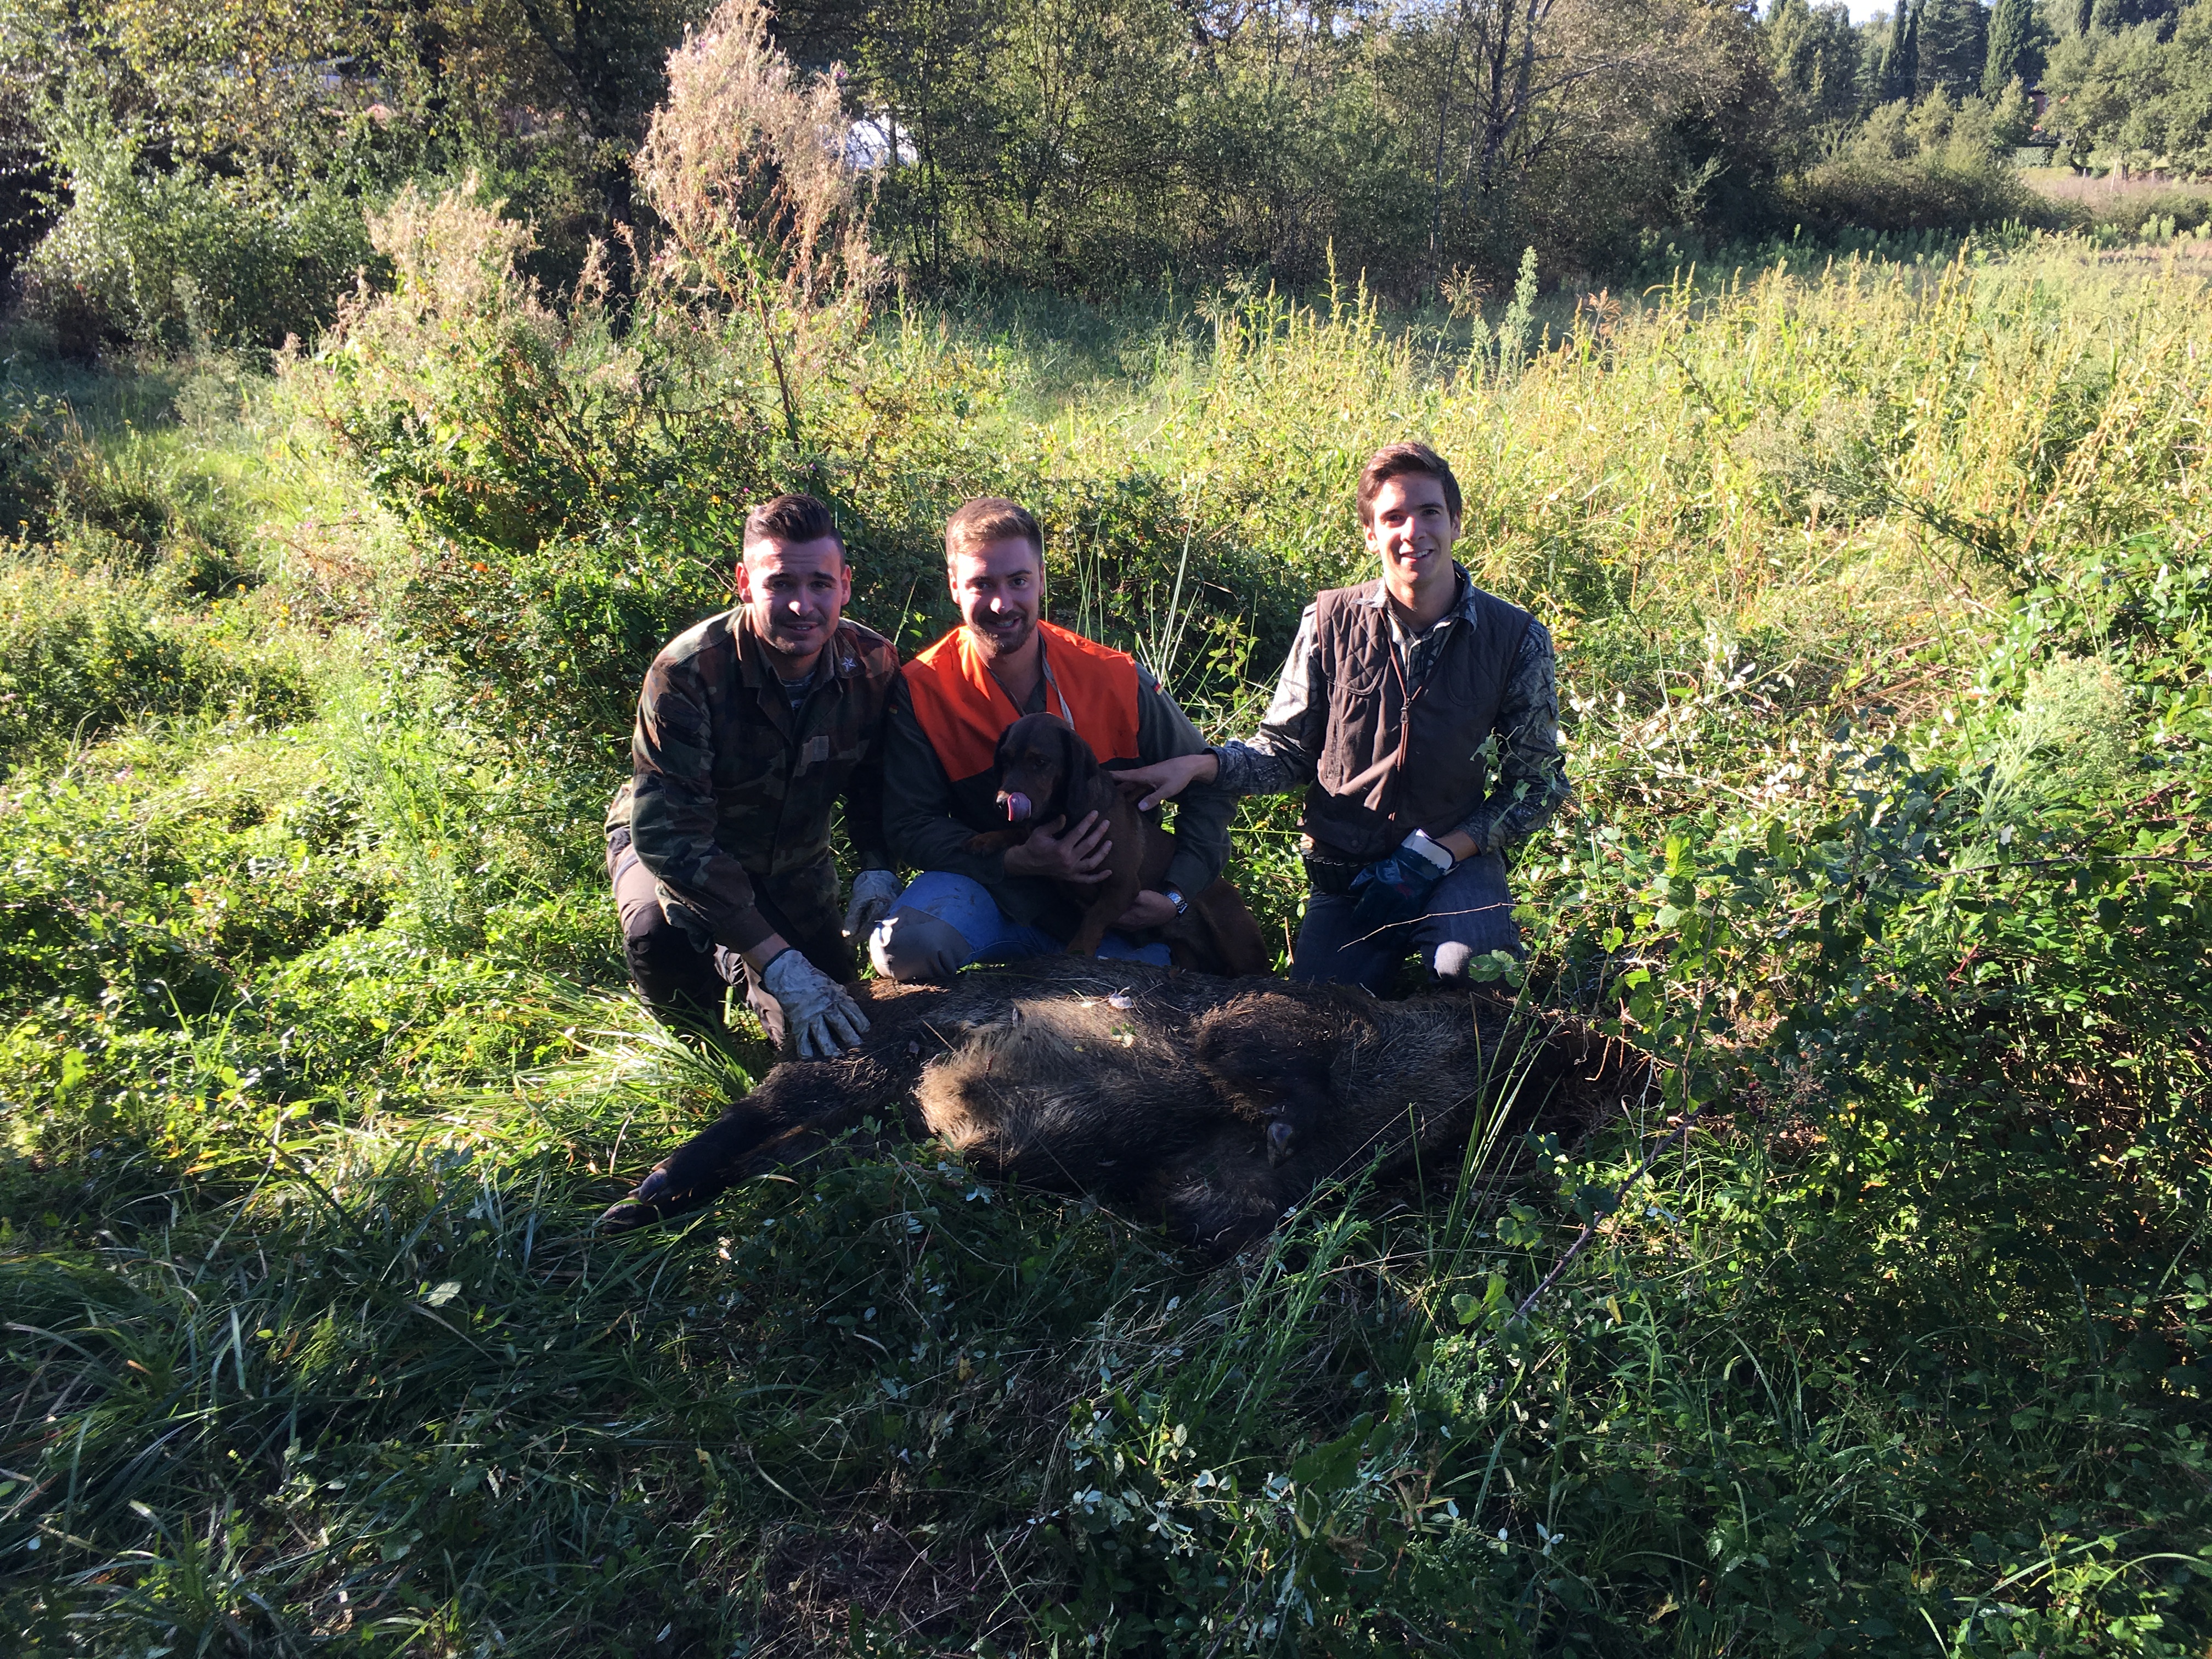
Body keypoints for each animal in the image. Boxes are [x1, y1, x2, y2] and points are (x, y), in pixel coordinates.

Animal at [964, 712, 1274, 973]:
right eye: (1005, 760)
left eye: (1040, 761)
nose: (1002, 804)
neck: (1066, 815)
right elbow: (1021, 834)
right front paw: (988, 839)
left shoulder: (1123, 886)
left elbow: (1094, 919)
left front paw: (1076, 952)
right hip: (1184, 949)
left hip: (1234, 939)